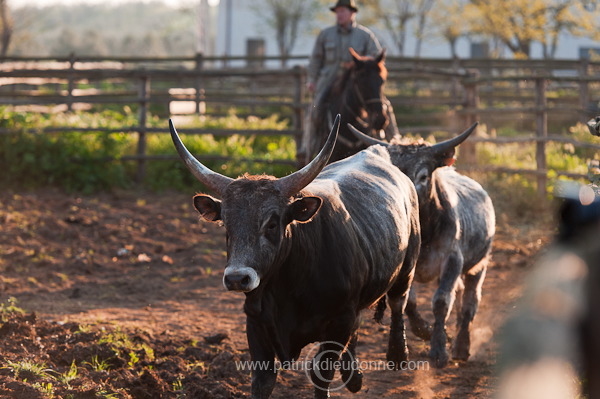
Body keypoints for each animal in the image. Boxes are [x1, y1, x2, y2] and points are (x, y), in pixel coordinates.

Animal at [170, 116, 422, 399]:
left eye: (272, 223)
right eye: (226, 224)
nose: (237, 278)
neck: (287, 289)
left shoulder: (339, 322)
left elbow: (320, 373)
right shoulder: (256, 323)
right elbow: (262, 381)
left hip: (407, 267)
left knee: (398, 302)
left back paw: (398, 355)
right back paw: (354, 376)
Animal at [350, 124, 494, 368]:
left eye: (423, 176)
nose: (403, 197)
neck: (427, 232)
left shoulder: (453, 260)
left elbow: (441, 301)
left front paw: (439, 350)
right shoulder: (408, 265)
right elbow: (410, 302)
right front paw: (426, 331)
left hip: (478, 265)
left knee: (470, 302)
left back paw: (461, 346)